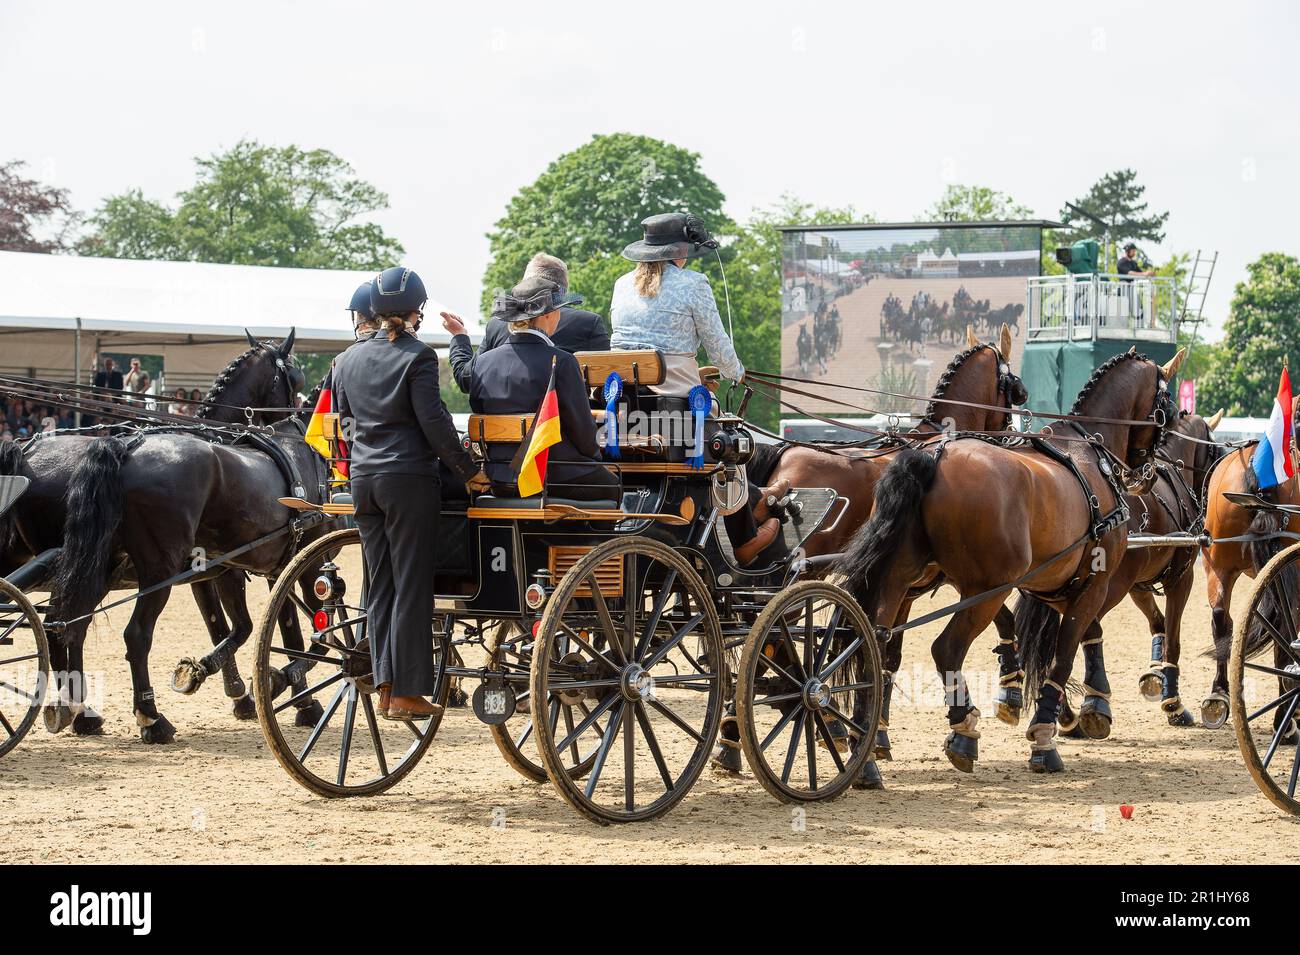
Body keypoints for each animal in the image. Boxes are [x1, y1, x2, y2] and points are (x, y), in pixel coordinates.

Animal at [0, 335, 306, 732]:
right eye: (294, 381)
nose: (295, 418)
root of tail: (26, 449)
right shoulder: (223, 568)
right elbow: (247, 625)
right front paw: (279, 699)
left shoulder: (207, 571)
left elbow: (221, 626)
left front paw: (237, 694)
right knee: (71, 627)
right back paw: (115, 714)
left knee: (65, 624)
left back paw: (79, 711)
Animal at [837, 348, 1185, 774]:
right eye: (1168, 406)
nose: (1149, 474)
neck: (1089, 454)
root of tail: (934, 455)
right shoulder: (1094, 584)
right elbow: (1063, 655)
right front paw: (1046, 736)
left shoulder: (1055, 587)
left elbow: (1070, 636)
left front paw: (1083, 706)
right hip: (983, 590)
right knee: (945, 649)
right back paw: (962, 730)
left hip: (900, 580)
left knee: (871, 645)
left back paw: (865, 750)